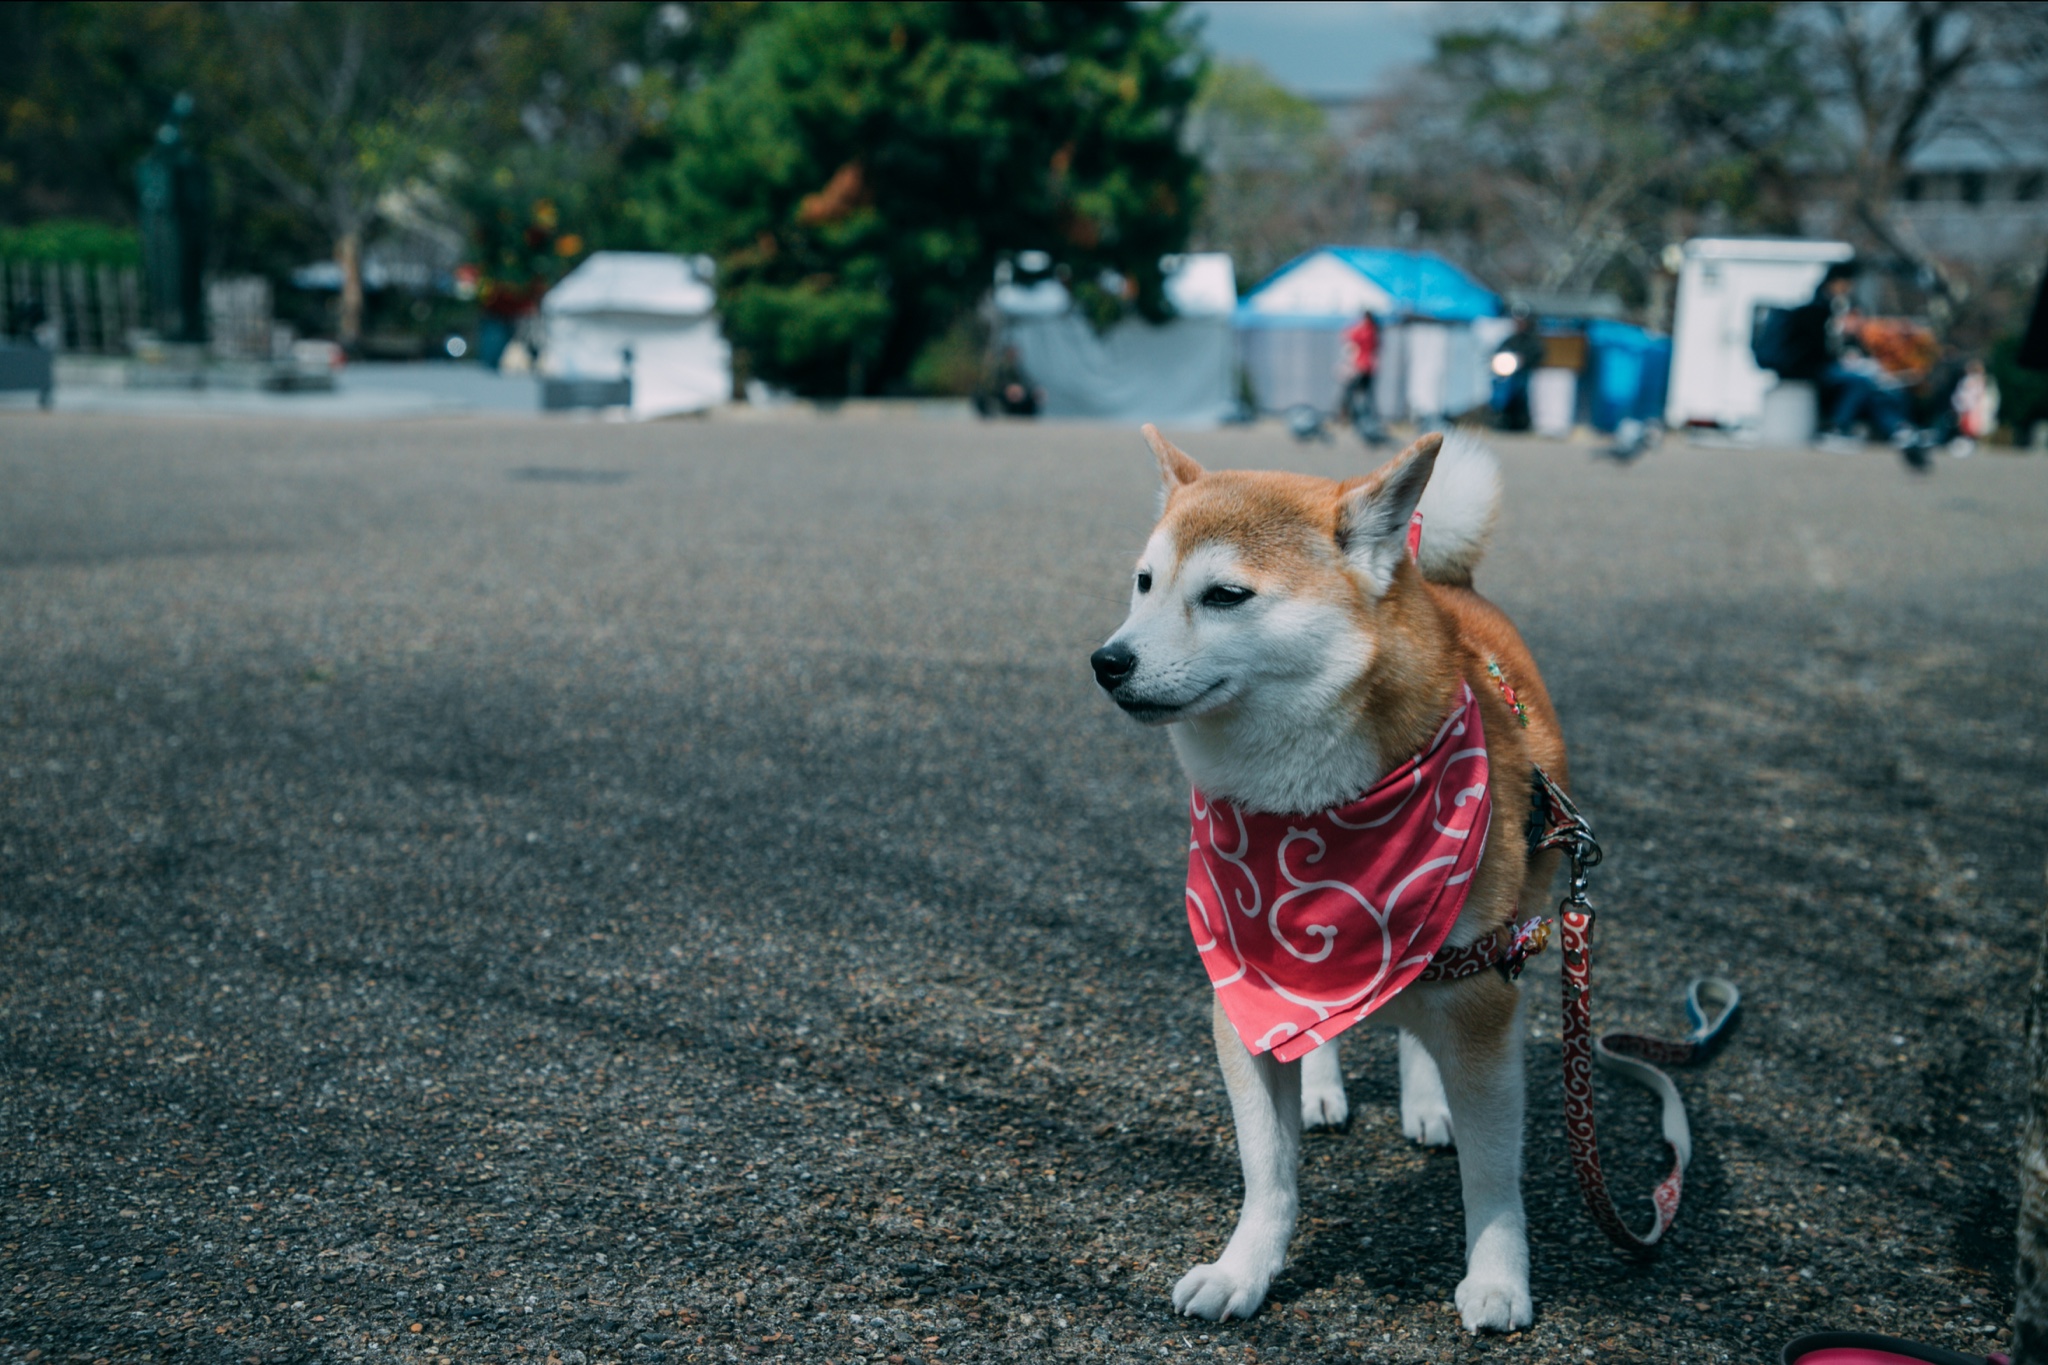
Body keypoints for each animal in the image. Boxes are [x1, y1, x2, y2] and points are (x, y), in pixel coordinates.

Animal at [1089, 427, 1564, 1334]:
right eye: (1144, 581)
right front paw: (1244, 1270)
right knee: (1325, 1025)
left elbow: (1492, 1177)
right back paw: (1321, 1086)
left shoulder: (1482, 998)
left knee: (1416, 1024)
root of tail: (1449, 579)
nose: (1107, 660)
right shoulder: (1244, 987)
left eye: (1226, 594)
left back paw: (1427, 1102)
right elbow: (1267, 1172)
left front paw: (1497, 1279)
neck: (1304, 812)